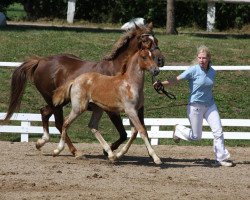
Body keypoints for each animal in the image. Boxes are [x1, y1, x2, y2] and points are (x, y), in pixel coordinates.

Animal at [3, 23, 165, 156]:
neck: (118, 71)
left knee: (45, 113)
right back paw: (74, 151)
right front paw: (109, 151)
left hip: (58, 102)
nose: (160, 61)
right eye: (146, 41)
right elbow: (124, 133)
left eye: (156, 40)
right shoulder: (111, 110)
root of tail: (40, 61)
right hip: (56, 102)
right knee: (60, 122)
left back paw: (41, 142)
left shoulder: (138, 109)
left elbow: (141, 130)